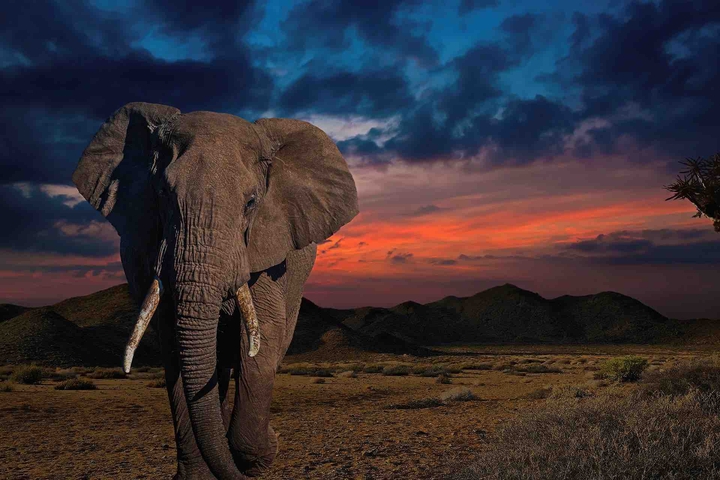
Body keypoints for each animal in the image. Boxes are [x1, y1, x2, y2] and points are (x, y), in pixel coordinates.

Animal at [72, 102, 358, 479]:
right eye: (162, 195)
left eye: (251, 202)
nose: (276, 438)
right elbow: (175, 346)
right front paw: (201, 473)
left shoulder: (265, 250)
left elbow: (262, 339)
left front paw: (258, 456)